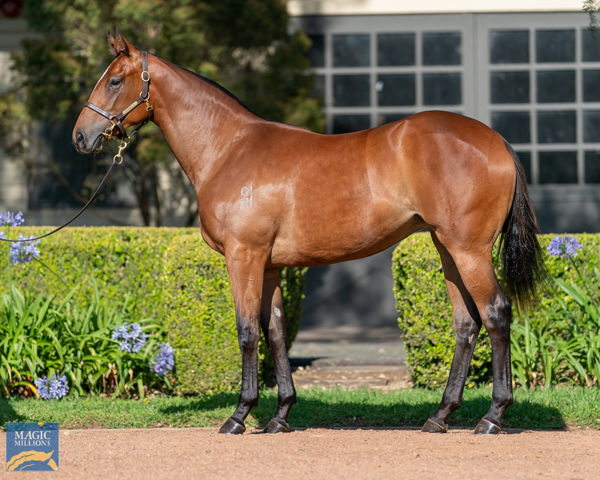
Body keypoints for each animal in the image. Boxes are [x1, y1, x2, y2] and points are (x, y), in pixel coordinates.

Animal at [72, 31, 548, 436]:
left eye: (114, 80)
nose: (80, 137)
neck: (229, 148)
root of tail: (496, 141)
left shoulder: (243, 256)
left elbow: (247, 331)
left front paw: (239, 416)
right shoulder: (268, 266)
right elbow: (276, 332)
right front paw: (280, 416)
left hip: (469, 250)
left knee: (496, 314)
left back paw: (492, 417)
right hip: (447, 249)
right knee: (466, 324)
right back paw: (440, 416)